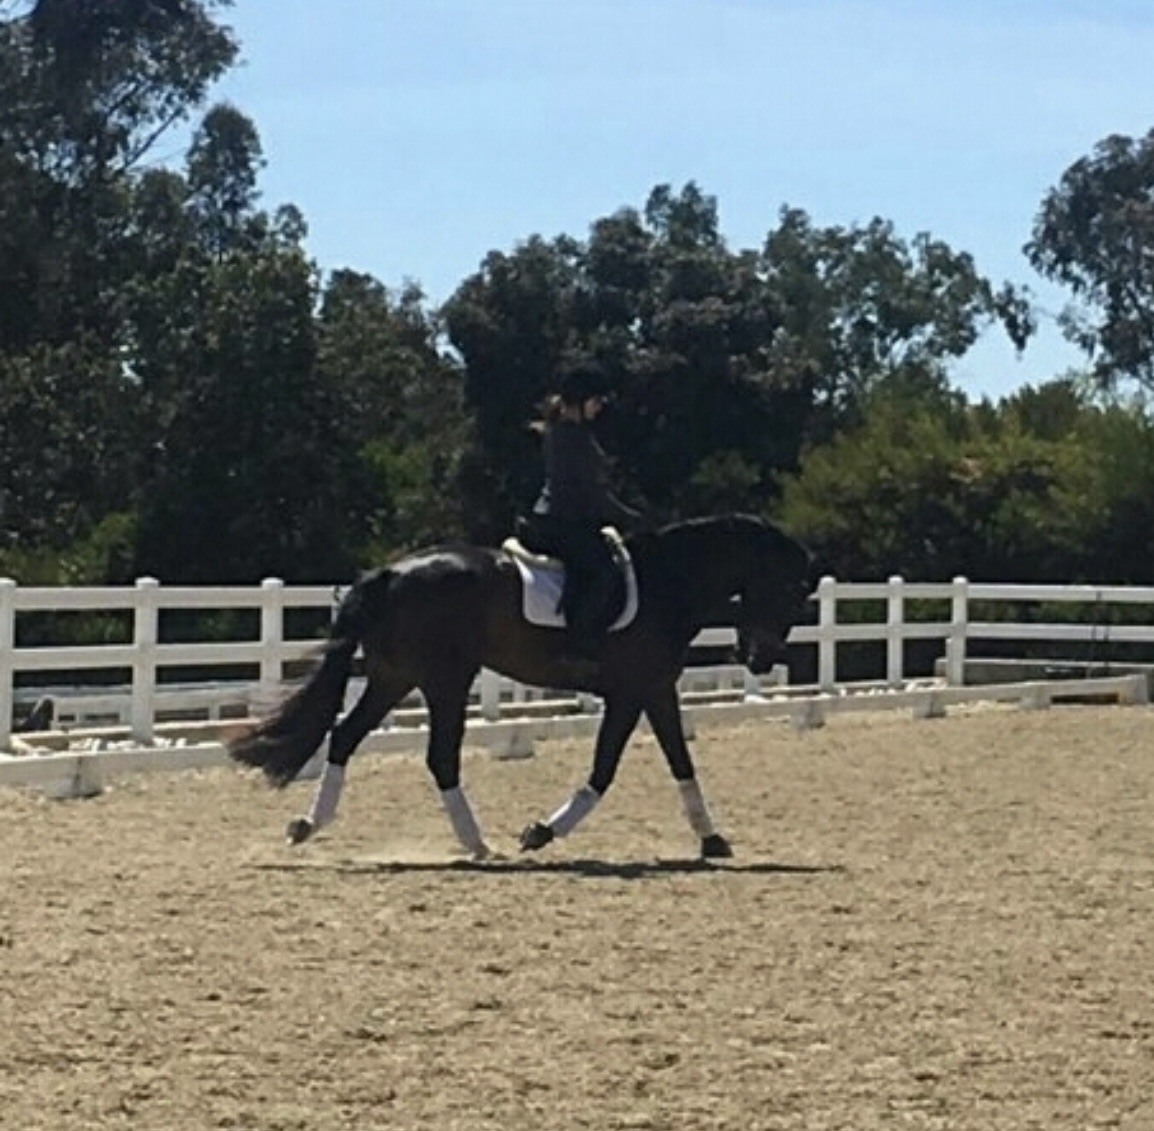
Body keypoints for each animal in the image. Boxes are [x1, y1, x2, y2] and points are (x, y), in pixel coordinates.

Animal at [228, 513, 816, 860]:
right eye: (791, 590)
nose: (759, 658)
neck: (667, 583)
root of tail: (391, 573)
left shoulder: (646, 691)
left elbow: (661, 763)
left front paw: (711, 838)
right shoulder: (638, 690)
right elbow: (619, 768)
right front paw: (542, 832)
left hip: (395, 677)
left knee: (346, 737)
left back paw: (310, 823)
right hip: (444, 680)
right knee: (439, 757)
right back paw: (476, 842)